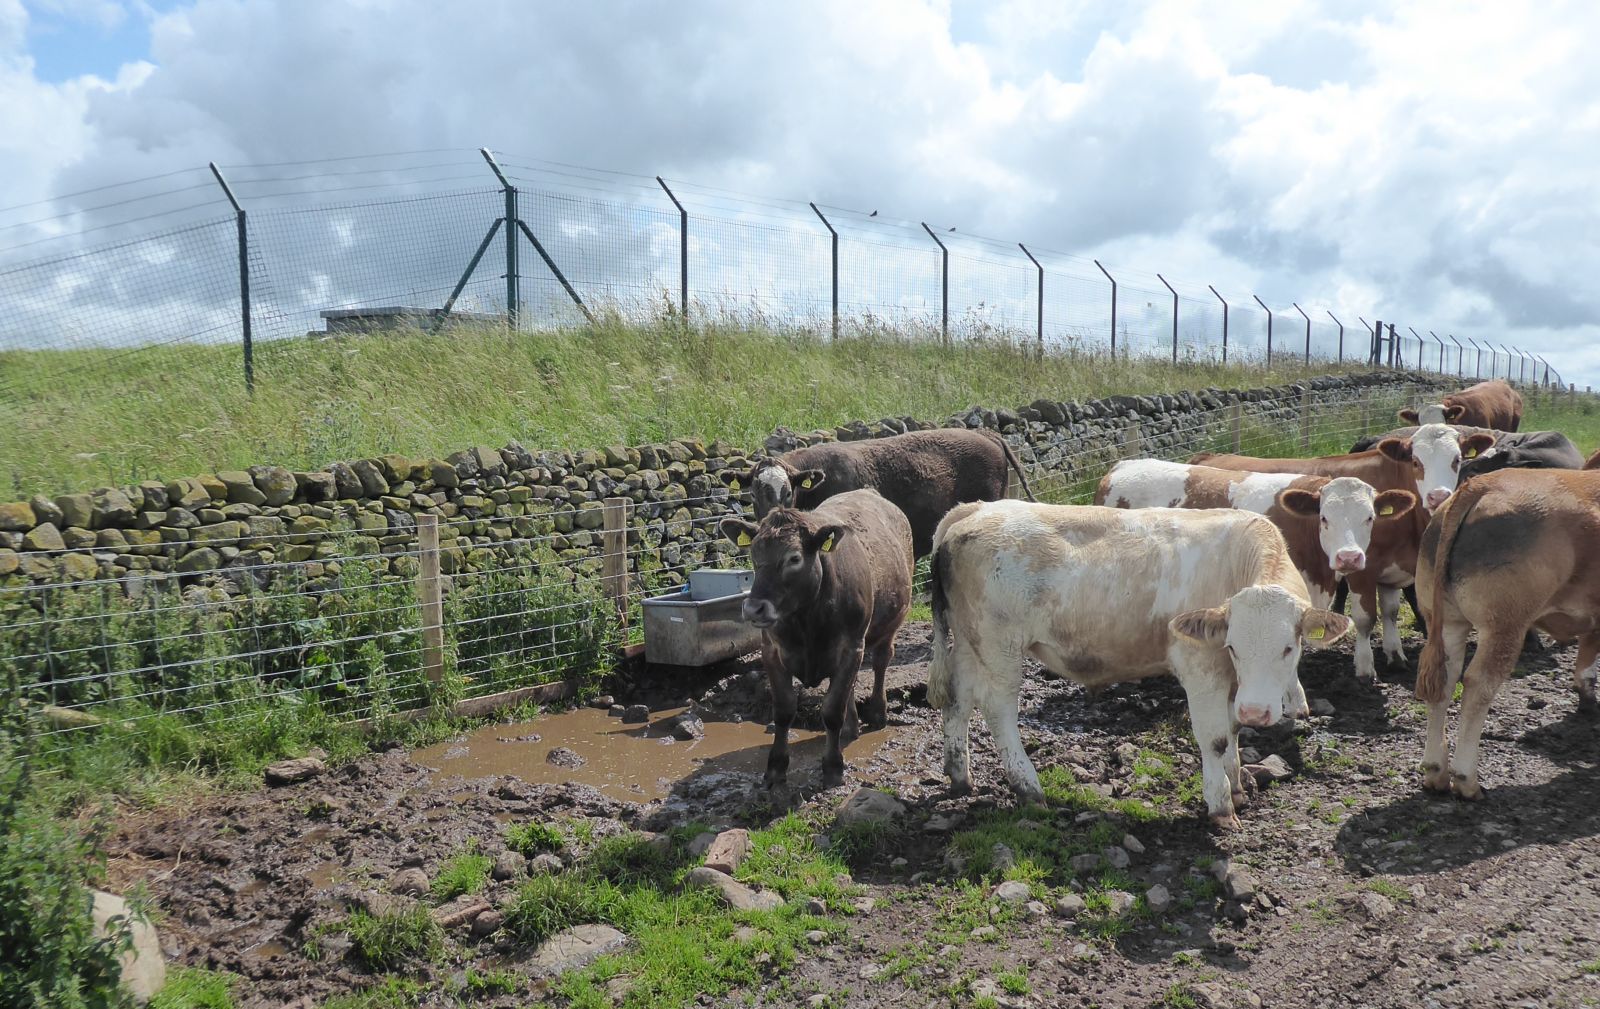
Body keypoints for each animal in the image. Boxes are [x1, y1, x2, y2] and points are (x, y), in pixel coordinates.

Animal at [720, 488, 913, 792]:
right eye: (753, 553)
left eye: (794, 558)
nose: (753, 609)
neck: (806, 619)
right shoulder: (772, 651)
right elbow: (784, 711)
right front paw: (775, 768)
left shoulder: (851, 647)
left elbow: (832, 710)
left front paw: (833, 768)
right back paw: (851, 726)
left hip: (890, 625)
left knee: (881, 662)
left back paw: (877, 712)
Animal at [927, 501, 1350, 828]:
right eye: (1233, 646)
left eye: (1289, 648)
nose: (1257, 712)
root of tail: (975, 509)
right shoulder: (1201, 669)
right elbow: (1214, 738)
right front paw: (1221, 807)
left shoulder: (1231, 682)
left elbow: (1231, 731)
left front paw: (1238, 787)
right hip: (999, 647)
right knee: (997, 710)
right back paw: (1028, 788)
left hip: (969, 642)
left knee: (958, 699)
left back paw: (959, 776)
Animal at [1192, 424, 1496, 679]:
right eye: (1415, 461)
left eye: (1457, 460)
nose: (1438, 496)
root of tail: (1207, 456)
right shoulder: (1363, 568)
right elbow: (1365, 618)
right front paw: (1364, 667)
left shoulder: (1391, 570)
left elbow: (1390, 611)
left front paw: (1395, 654)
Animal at [1414, 469, 1600, 799]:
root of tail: (1479, 486)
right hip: (1504, 624)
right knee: (1478, 684)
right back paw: (1467, 780)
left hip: (1446, 621)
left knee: (1444, 682)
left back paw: (1436, 771)